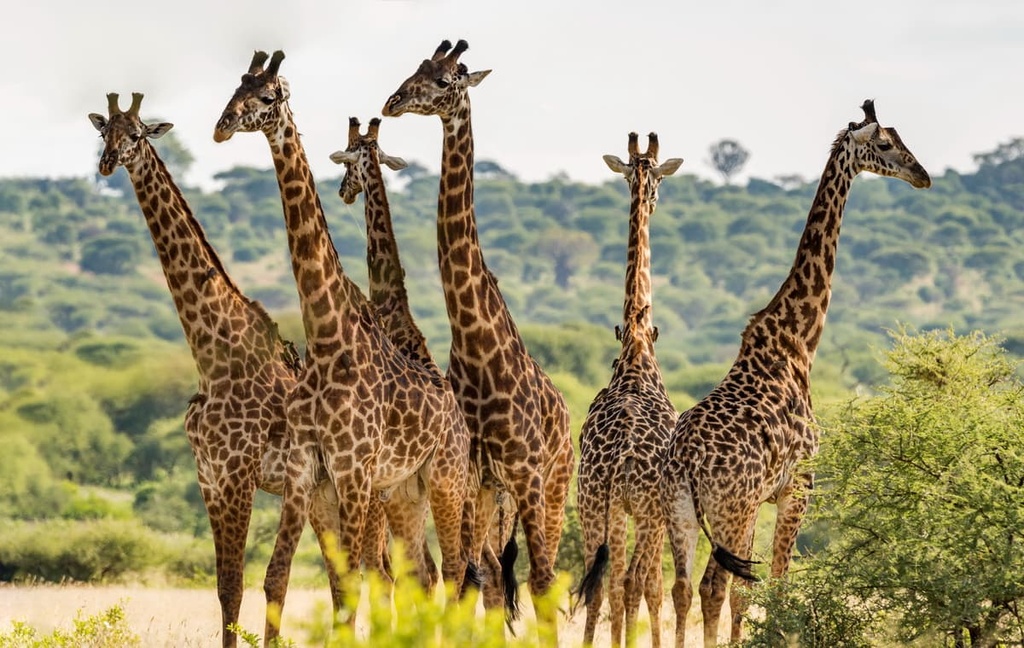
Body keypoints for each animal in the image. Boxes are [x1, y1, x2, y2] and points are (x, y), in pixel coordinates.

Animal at [88, 92, 347, 648]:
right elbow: (225, 584)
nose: (107, 163)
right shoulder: (208, 476)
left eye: (137, 134)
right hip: (324, 498)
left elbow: (256, 581)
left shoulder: (243, 474)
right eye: (104, 133)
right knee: (350, 578)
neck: (212, 357)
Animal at [213, 50, 473, 644]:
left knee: (454, 571)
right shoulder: (306, 469)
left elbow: (355, 582)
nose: (220, 127)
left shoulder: (354, 471)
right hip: (406, 491)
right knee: (427, 574)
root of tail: (458, 416)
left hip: (444, 480)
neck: (328, 338)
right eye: (235, 87)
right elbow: (280, 577)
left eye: (267, 97)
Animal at [382, 39, 575, 631]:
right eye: (417, 69)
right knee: (488, 573)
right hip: (493, 495)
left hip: (554, 485)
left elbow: (538, 581)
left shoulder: (526, 473)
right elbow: (470, 579)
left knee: (545, 574)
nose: (393, 102)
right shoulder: (472, 475)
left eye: (447, 80)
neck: (474, 342)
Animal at [659, 100, 931, 647]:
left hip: (681, 513)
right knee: (714, 585)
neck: (798, 343)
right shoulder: (797, 486)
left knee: (681, 587)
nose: (923, 175)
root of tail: (689, 464)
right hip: (731, 508)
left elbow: (751, 591)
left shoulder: (767, 498)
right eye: (886, 144)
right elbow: (777, 586)